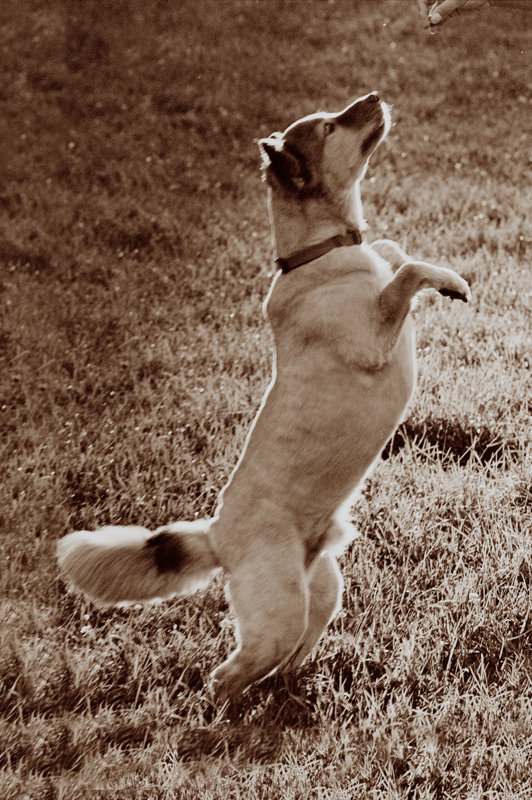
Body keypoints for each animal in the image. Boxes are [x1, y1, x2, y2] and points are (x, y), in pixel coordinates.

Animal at [57, 92, 470, 701]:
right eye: (330, 127)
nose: (374, 98)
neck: (318, 252)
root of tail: (216, 535)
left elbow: (394, 251)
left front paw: (432, 273)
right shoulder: (372, 338)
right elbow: (406, 272)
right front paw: (449, 282)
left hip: (321, 590)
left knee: (294, 648)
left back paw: (293, 685)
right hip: (278, 611)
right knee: (228, 675)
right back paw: (225, 707)